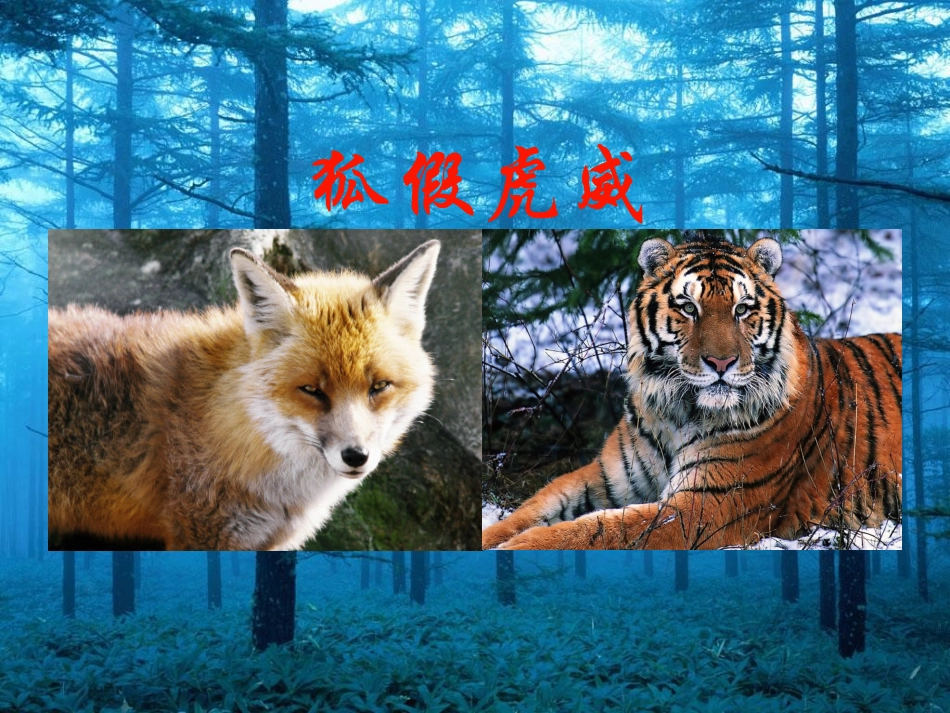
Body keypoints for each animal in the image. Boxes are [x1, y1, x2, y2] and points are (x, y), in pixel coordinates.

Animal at [482, 236, 902, 550]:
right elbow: (531, 509)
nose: (721, 362)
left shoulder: (707, 503)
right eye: (688, 307)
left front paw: (520, 548)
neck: (676, 410)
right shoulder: (606, 478)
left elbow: (604, 529)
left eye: (742, 309)